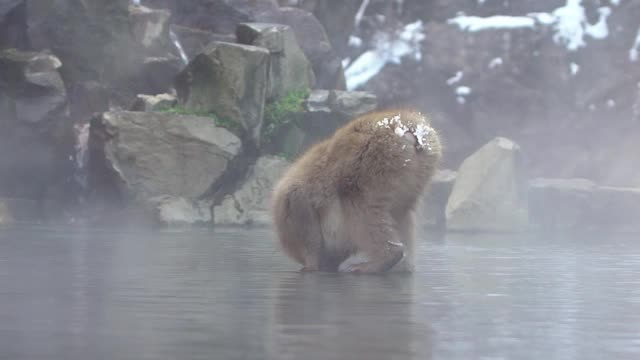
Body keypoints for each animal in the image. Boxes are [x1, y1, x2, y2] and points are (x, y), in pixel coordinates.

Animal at [268, 109, 440, 272]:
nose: (329, 264)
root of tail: (409, 129)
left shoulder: (298, 200)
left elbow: (309, 233)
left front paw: (312, 263)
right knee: (402, 212)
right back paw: (403, 266)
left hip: (374, 160)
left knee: (357, 203)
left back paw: (385, 258)